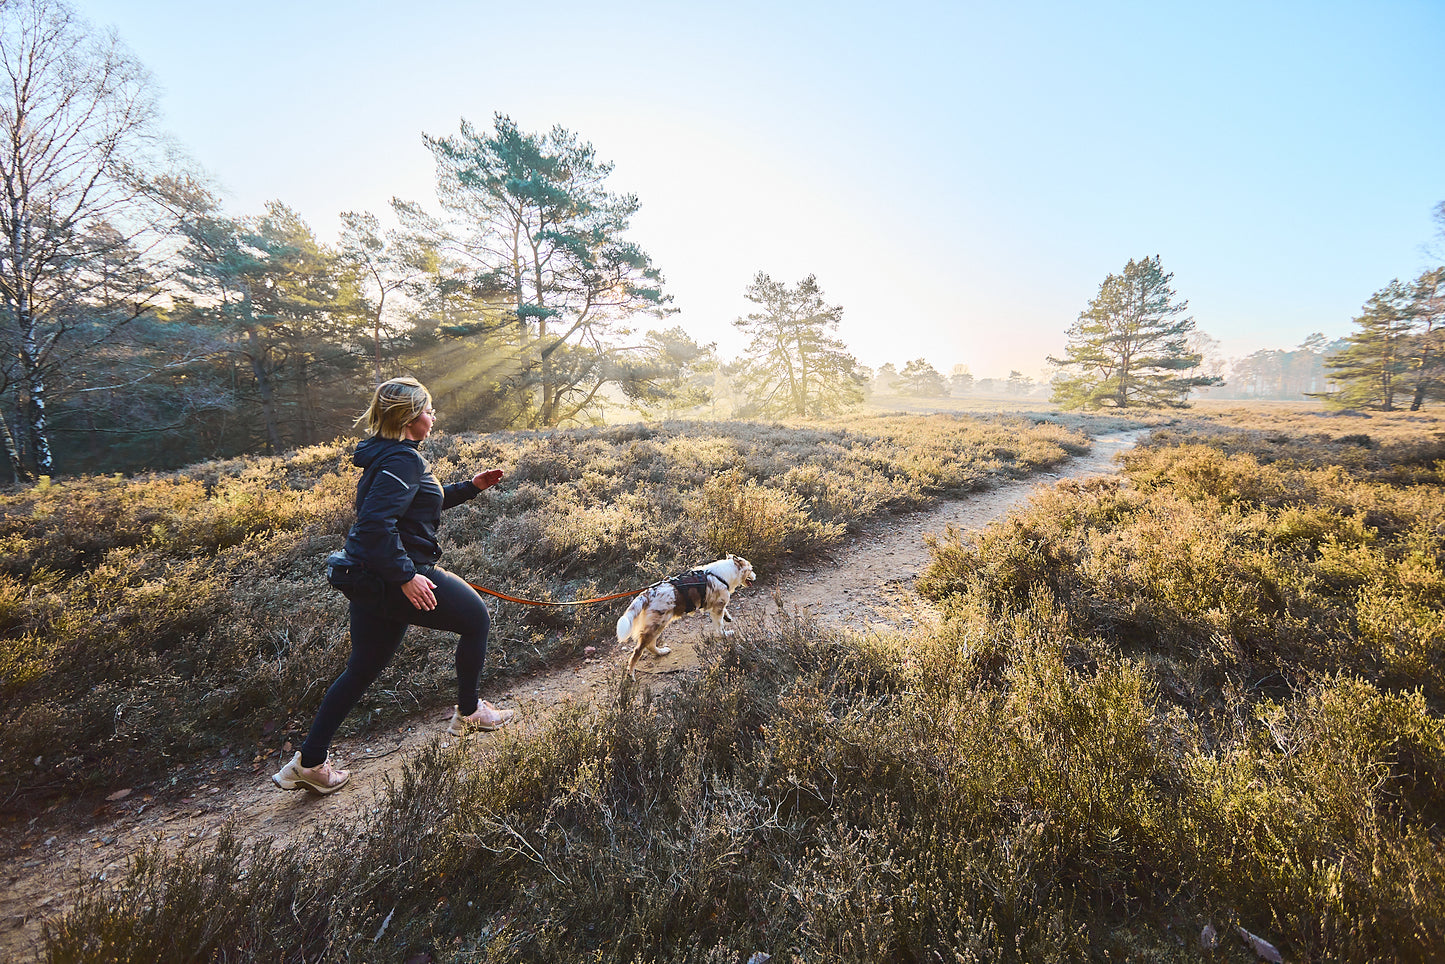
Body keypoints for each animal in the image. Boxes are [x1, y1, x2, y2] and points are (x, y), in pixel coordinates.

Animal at [618, 554, 762, 682]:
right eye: (751, 569)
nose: (756, 576)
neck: (723, 574)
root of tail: (647, 593)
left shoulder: (716, 606)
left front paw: (728, 617)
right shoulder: (718, 607)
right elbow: (719, 626)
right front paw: (724, 634)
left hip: (658, 625)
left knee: (650, 645)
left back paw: (661, 652)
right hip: (657, 624)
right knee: (638, 650)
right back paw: (631, 673)